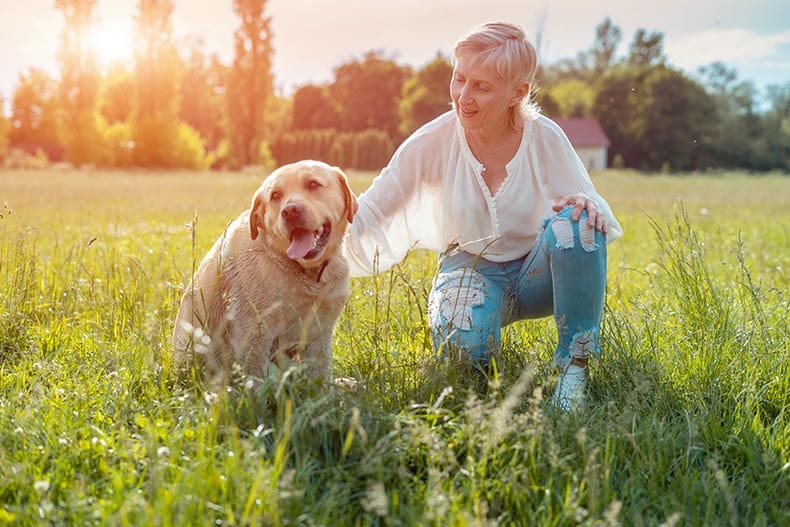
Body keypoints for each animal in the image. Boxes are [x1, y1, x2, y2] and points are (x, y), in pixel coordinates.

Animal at [175, 160, 360, 388]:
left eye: (313, 184)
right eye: (275, 196)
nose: (290, 211)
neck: (307, 274)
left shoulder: (320, 332)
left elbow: (321, 377)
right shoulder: (254, 333)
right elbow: (257, 382)